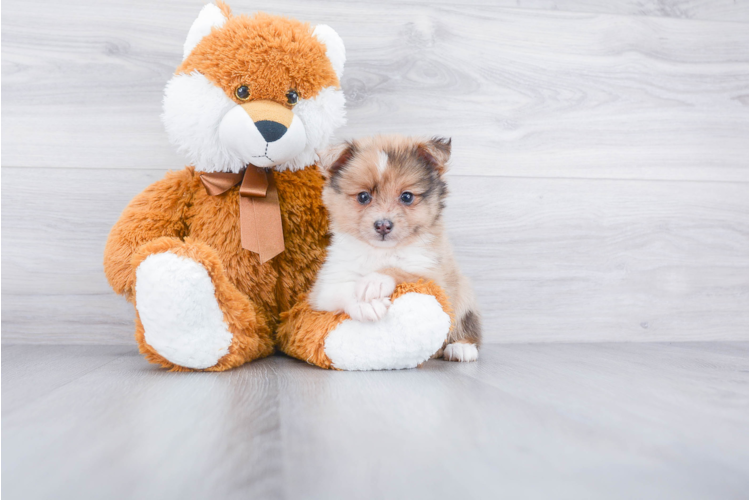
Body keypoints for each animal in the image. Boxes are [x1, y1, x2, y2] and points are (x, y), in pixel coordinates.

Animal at [310, 135, 482, 362]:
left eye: (407, 197)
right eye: (363, 197)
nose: (383, 225)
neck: (380, 252)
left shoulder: (435, 278)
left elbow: (400, 269)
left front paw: (374, 281)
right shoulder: (323, 288)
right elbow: (342, 289)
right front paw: (365, 304)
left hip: (463, 292)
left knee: (468, 324)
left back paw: (461, 348)